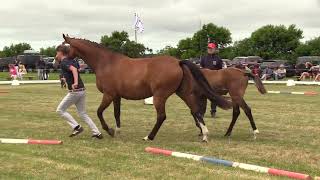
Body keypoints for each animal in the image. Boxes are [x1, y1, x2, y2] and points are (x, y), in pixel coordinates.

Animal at [60, 34, 230, 142]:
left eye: (63, 48)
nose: (57, 61)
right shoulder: (116, 96)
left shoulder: (108, 95)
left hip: (159, 97)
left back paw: (149, 137)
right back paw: (205, 135)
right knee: (196, 111)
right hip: (183, 93)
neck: (106, 62)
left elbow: (99, 112)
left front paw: (109, 130)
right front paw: (117, 131)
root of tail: (178, 62)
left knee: (162, 116)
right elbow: (117, 114)